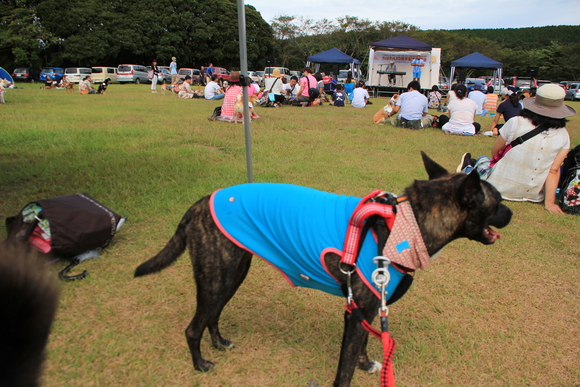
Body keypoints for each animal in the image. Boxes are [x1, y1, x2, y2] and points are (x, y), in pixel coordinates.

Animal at [135, 152, 512, 387]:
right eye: (498, 201)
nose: (512, 213)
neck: (406, 226)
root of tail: (199, 203)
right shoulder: (357, 311)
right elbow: (344, 367)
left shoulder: (367, 308)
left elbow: (363, 345)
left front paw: (366, 364)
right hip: (218, 277)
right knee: (193, 327)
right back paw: (200, 364)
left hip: (231, 273)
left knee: (212, 315)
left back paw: (219, 343)